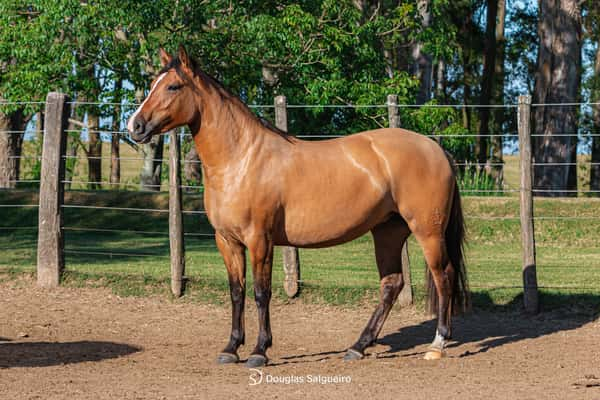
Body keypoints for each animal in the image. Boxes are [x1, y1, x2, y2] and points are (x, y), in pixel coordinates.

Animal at [129, 45, 472, 368]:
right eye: (153, 82)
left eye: (173, 86)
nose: (135, 126)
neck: (241, 159)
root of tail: (435, 149)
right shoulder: (227, 241)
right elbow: (237, 292)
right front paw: (230, 349)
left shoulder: (260, 240)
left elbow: (261, 293)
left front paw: (259, 351)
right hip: (388, 231)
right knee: (392, 284)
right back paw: (357, 347)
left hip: (428, 232)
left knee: (443, 276)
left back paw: (437, 345)